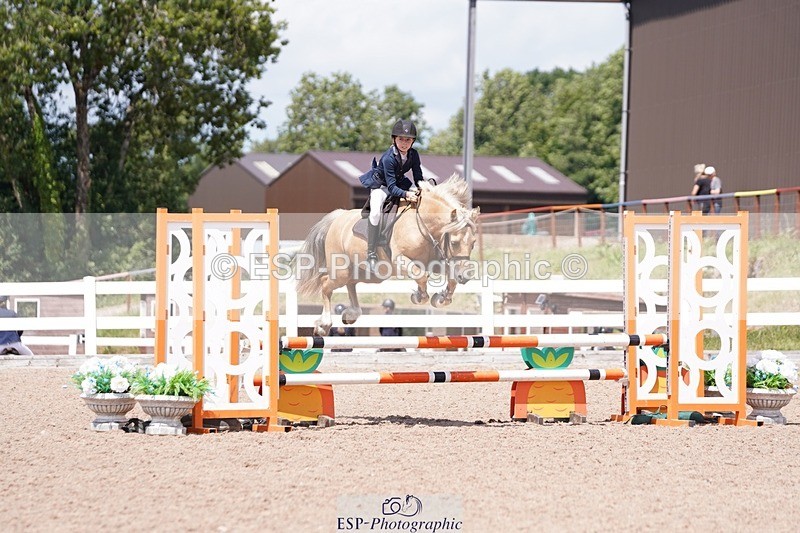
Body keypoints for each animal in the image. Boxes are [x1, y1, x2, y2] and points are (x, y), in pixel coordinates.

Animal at [295, 174, 480, 336]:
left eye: (473, 243)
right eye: (454, 243)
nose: (465, 277)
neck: (424, 224)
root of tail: (339, 217)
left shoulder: (438, 261)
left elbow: (450, 279)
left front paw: (440, 298)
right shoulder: (401, 260)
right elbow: (420, 275)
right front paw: (419, 297)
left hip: (369, 274)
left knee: (350, 283)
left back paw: (351, 314)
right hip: (341, 270)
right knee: (326, 283)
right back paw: (324, 325)